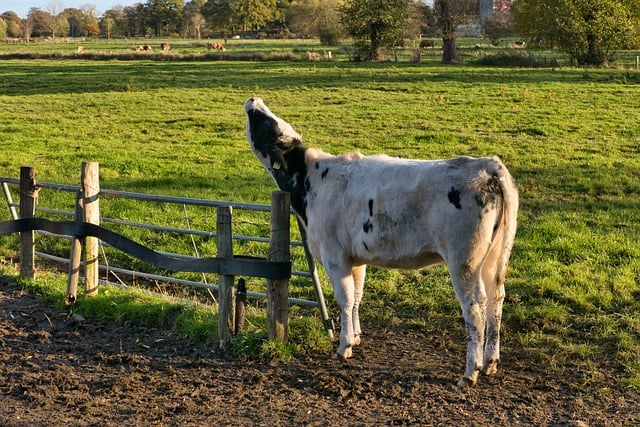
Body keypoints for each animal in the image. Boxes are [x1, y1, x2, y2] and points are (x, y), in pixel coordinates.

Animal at [244, 97, 519, 387]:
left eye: (267, 123)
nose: (254, 99)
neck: (313, 181)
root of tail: (487, 165)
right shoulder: (355, 258)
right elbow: (356, 296)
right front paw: (355, 338)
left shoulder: (335, 255)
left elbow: (344, 298)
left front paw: (343, 347)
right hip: (494, 257)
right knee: (496, 297)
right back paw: (490, 362)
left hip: (464, 260)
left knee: (475, 306)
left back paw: (470, 372)